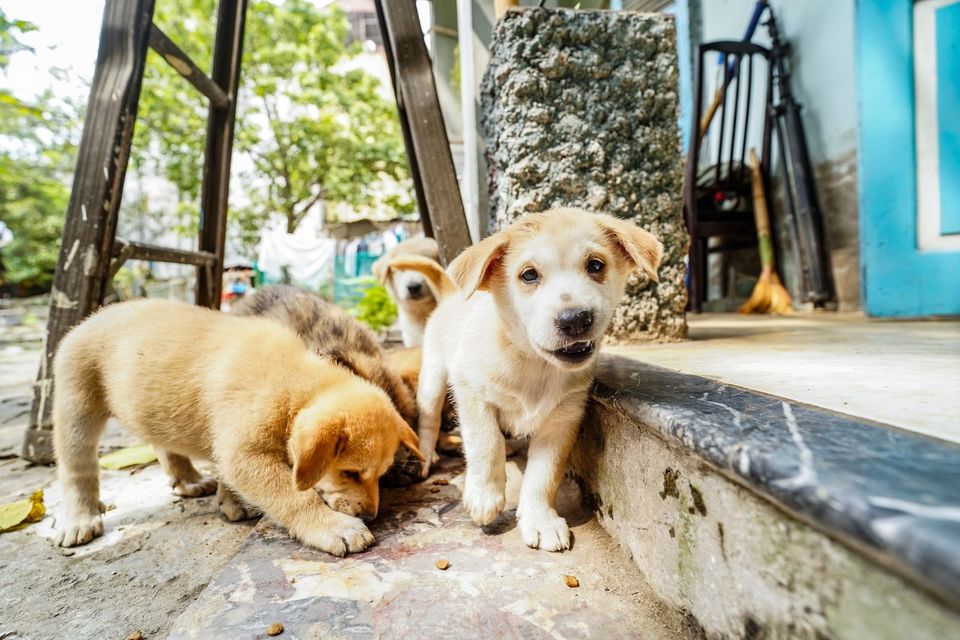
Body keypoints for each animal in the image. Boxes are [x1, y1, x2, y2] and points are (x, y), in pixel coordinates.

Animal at [394, 209, 664, 552]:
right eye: (529, 275)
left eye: (596, 265)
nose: (575, 320)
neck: (534, 365)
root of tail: (452, 294)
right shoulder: (471, 393)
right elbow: (486, 443)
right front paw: (484, 496)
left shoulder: (563, 418)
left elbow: (543, 475)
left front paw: (540, 519)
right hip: (433, 378)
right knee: (429, 420)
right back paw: (428, 455)